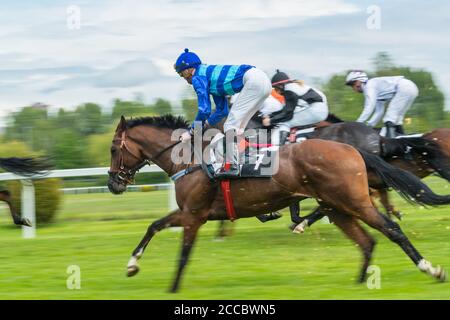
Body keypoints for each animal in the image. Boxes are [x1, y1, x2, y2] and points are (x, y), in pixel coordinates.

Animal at [108, 115, 446, 292]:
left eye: (113, 149)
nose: (113, 183)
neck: (192, 159)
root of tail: (353, 149)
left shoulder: (194, 215)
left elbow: (183, 254)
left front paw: (172, 288)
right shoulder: (190, 213)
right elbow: (153, 226)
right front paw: (132, 265)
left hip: (355, 201)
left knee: (391, 231)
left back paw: (430, 268)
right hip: (337, 207)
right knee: (367, 241)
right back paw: (357, 282)